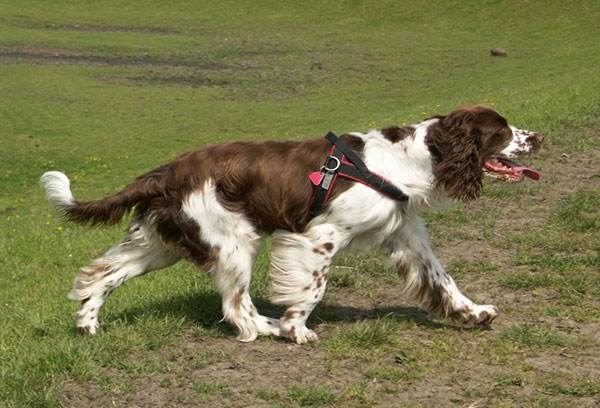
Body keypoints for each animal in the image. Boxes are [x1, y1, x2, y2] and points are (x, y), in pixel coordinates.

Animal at [39, 103, 540, 342]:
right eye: (502, 131)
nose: (535, 137)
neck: (409, 159)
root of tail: (169, 170)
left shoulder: (407, 236)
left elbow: (444, 280)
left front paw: (474, 313)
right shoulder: (319, 236)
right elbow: (312, 289)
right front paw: (296, 328)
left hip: (162, 243)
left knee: (102, 274)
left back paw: (87, 325)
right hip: (234, 241)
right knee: (236, 307)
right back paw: (267, 328)